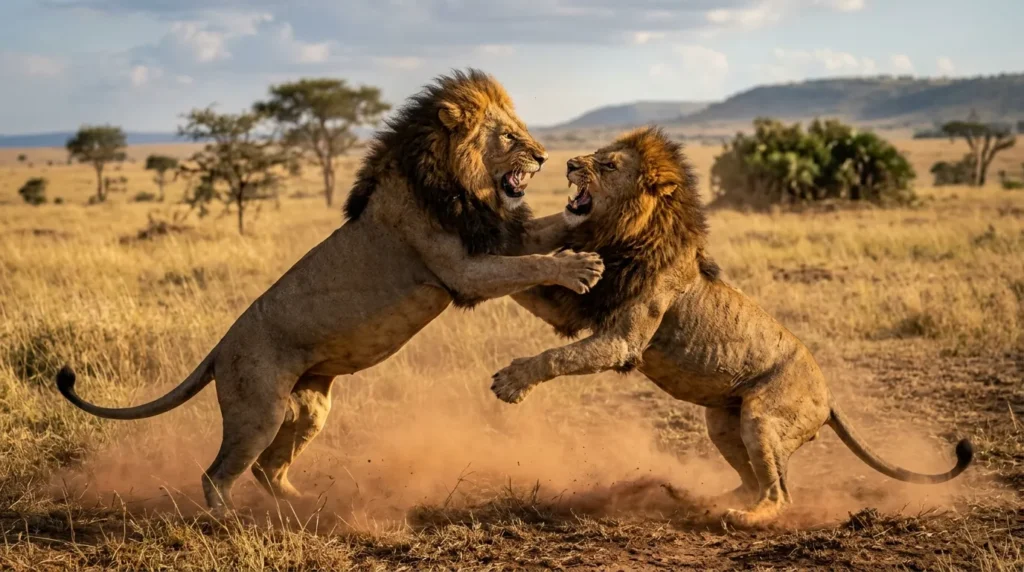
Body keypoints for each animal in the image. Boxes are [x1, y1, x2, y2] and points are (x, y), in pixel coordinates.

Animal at [56, 69, 604, 514]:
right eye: (509, 136)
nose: (544, 156)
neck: (456, 183)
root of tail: (217, 350)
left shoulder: (495, 236)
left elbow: (545, 233)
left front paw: (581, 219)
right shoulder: (462, 270)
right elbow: (530, 263)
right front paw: (580, 267)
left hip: (309, 409)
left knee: (267, 469)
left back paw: (308, 505)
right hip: (257, 411)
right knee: (217, 475)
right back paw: (231, 523)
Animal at [489, 126, 973, 528]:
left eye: (608, 165)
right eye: (595, 154)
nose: (570, 163)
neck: (624, 236)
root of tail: (829, 397)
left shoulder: (622, 340)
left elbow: (558, 356)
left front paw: (512, 381)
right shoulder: (578, 307)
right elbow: (521, 284)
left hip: (764, 418)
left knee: (779, 493)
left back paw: (740, 518)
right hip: (722, 421)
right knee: (751, 482)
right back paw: (696, 498)